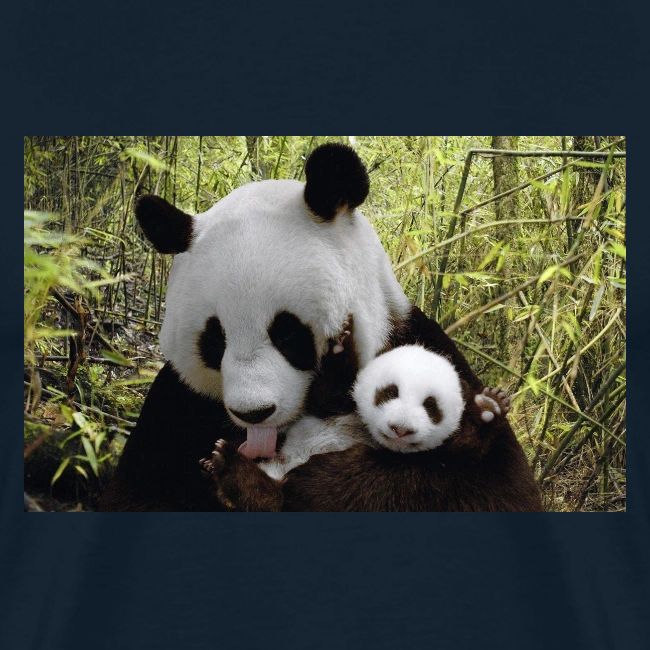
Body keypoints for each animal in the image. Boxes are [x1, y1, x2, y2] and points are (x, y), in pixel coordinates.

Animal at [99, 143, 540, 512]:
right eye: (215, 340)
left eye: (287, 333)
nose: (254, 413)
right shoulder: (178, 405)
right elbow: (140, 493)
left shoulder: (421, 346)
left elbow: (488, 488)